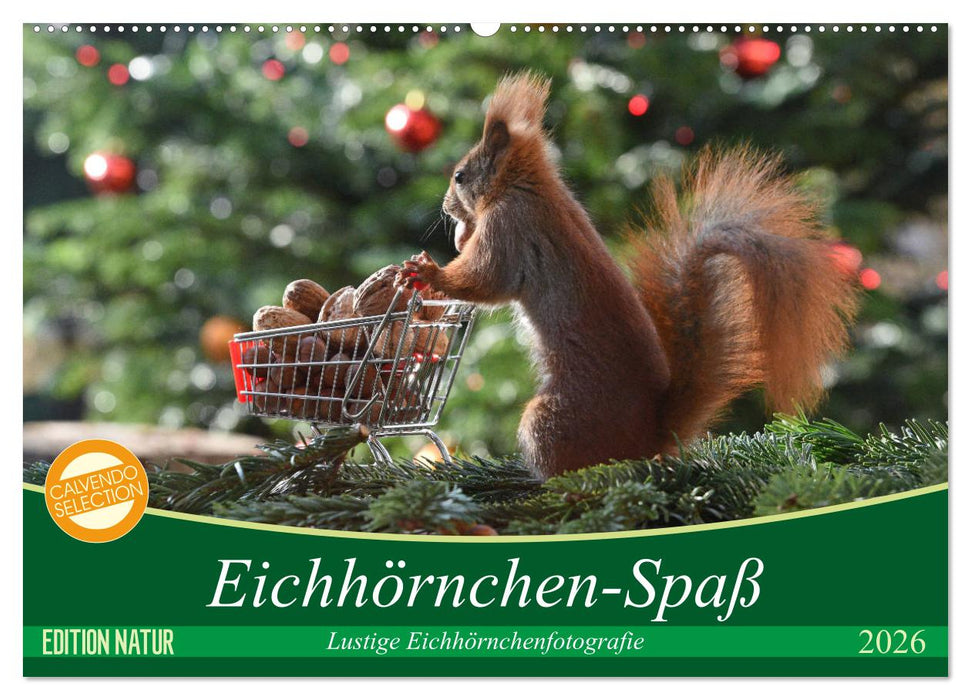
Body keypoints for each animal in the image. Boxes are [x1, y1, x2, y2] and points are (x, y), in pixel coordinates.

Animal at [397, 71, 861, 478]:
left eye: (460, 176)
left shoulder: (511, 228)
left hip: (550, 419)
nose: (446, 208)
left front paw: (429, 272)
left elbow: (486, 279)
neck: (529, 187)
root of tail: (651, 437)